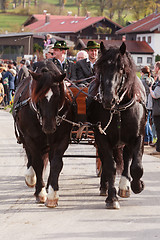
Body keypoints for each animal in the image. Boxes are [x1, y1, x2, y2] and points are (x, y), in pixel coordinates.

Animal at [12, 60, 76, 208]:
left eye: (58, 95)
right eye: (39, 96)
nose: (49, 127)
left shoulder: (61, 139)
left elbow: (56, 163)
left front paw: (52, 194)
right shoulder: (31, 138)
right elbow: (37, 163)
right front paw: (40, 192)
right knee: (31, 156)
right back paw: (31, 178)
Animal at [87, 42, 147, 209]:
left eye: (121, 68)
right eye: (100, 68)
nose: (108, 99)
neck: (118, 109)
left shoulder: (138, 137)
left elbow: (136, 166)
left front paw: (137, 186)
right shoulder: (102, 137)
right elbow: (110, 166)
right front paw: (112, 197)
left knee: (126, 159)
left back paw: (124, 186)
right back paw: (105, 186)